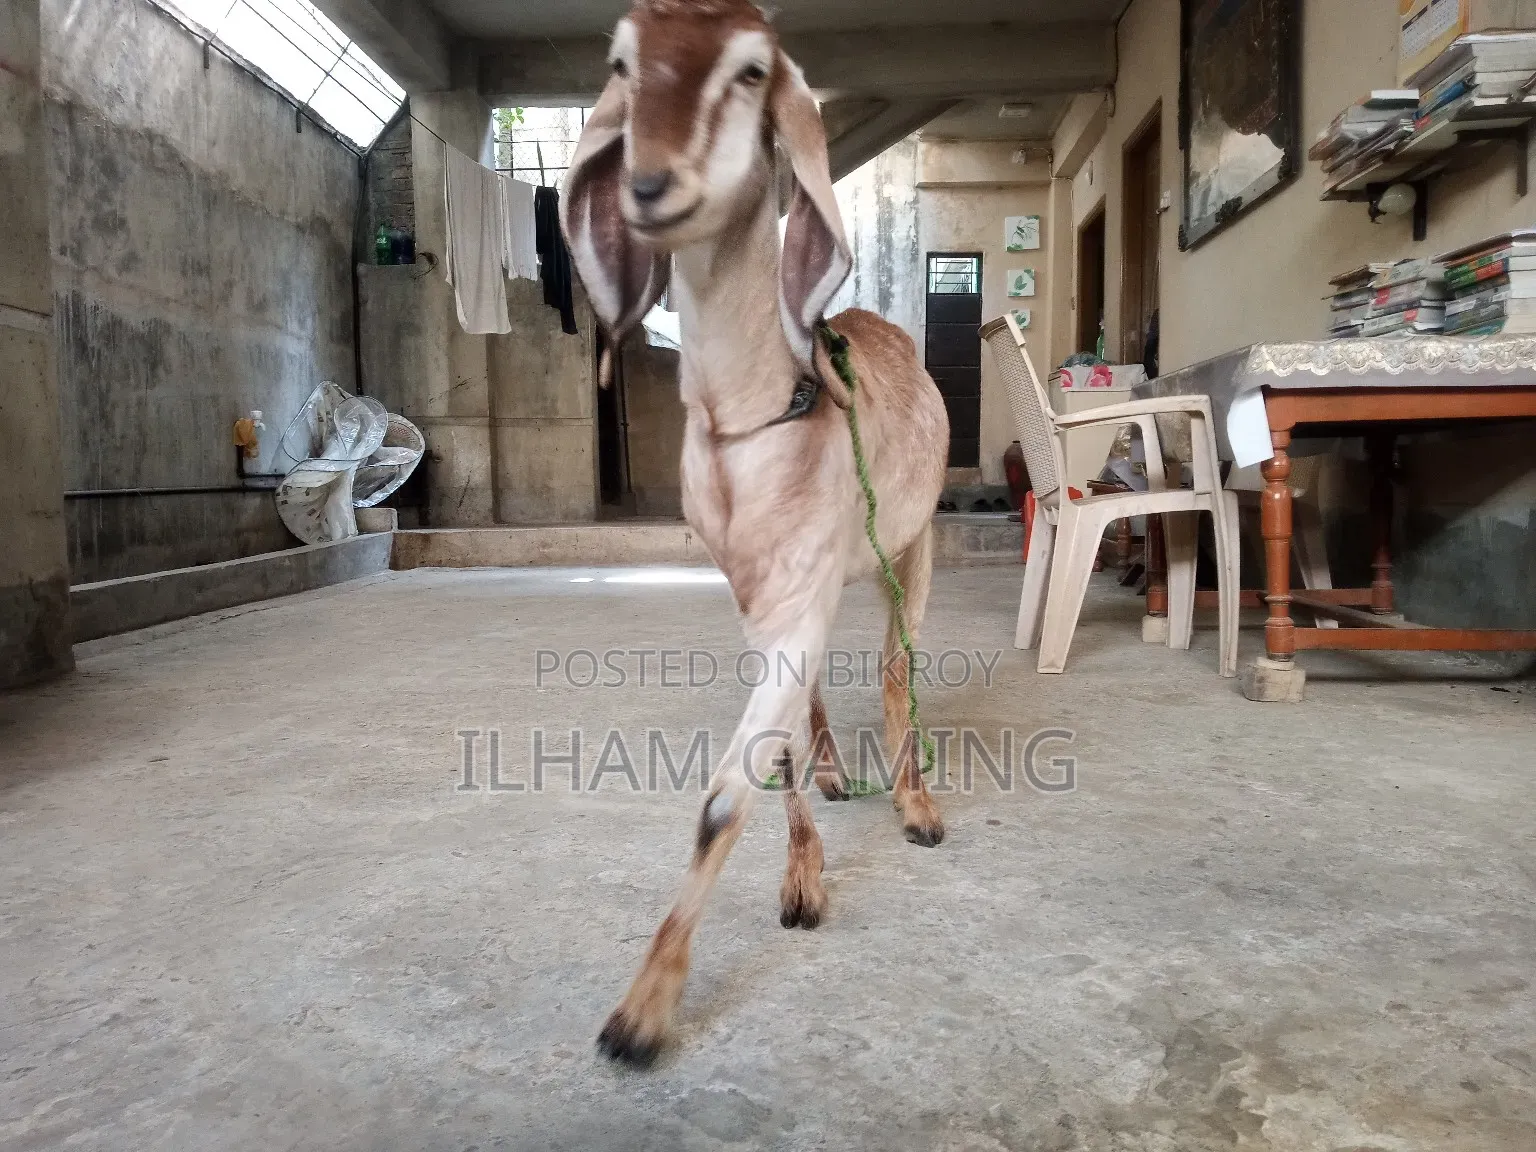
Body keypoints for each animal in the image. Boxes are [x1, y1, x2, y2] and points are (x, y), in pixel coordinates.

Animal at [561, 0, 950, 1066]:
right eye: (623, 63)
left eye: (748, 70)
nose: (650, 183)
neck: (754, 420)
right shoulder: (754, 593)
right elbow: (769, 754)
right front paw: (803, 872)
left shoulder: (813, 588)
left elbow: (721, 799)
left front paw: (645, 1009)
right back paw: (834, 769)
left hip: (913, 545)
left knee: (897, 667)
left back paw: (914, 800)